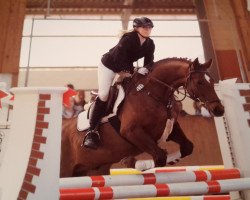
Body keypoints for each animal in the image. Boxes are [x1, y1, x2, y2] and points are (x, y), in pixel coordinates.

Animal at [60, 57, 225, 177]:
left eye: (212, 81)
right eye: (200, 82)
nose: (219, 110)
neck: (153, 94)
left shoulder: (170, 129)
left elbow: (187, 148)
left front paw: (131, 161)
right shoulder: (131, 132)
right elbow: (159, 156)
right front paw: (133, 162)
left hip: (92, 170)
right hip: (66, 171)